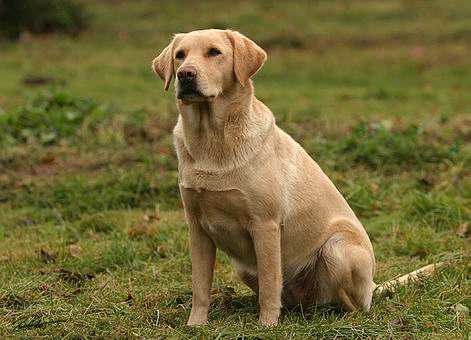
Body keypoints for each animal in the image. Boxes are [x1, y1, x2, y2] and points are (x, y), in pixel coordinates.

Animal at [153, 29, 378, 326]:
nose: (185, 74)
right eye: (180, 55)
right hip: (245, 269)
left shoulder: (265, 225)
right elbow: (200, 286)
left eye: (214, 52)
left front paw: (267, 325)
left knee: (352, 304)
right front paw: (195, 325)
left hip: (336, 249)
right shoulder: (197, 227)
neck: (212, 140)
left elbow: (271, 283)